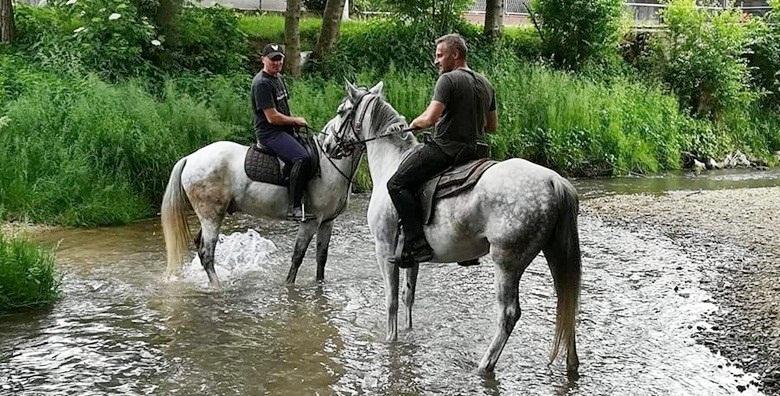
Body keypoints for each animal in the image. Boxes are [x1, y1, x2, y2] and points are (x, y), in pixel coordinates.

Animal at [163, 135, 364, 286]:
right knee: (206, 253)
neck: (330, 165)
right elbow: (298, 256)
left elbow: (321, 257)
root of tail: (189, 158)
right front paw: (288, 285)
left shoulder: (327, 222)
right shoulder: (311, 221)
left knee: (199, 244)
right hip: (211, 215)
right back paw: (217, 287)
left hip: (211, 216)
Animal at [320, 83, 580, 374]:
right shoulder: (410, 257)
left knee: (509, 314)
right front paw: (408, 334)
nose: (326, 143)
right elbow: (408, 297)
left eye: (341, 111)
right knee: (567, 302)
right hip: (554, 253)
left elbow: (391, 301)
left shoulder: (384, 250)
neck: (391, 163)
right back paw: (571, 364)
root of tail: (553, 180)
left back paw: (484, 364)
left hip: (507, 262)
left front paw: (391, 341)